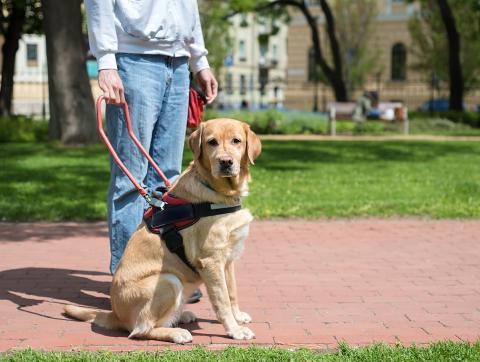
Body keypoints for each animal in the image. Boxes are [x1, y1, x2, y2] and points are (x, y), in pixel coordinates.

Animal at [64, 120, 262, 344]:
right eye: (212, 142)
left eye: (236, 141)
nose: (226, 162)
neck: (220, 194)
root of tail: (116, 314)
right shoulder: (211, 261)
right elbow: (222, 301)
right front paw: (234, 330)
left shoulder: (227, 260)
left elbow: (232, 292)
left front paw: (238, 317)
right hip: (168, 280)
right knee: (140, 330)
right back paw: (176, 332)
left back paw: (181, 316)